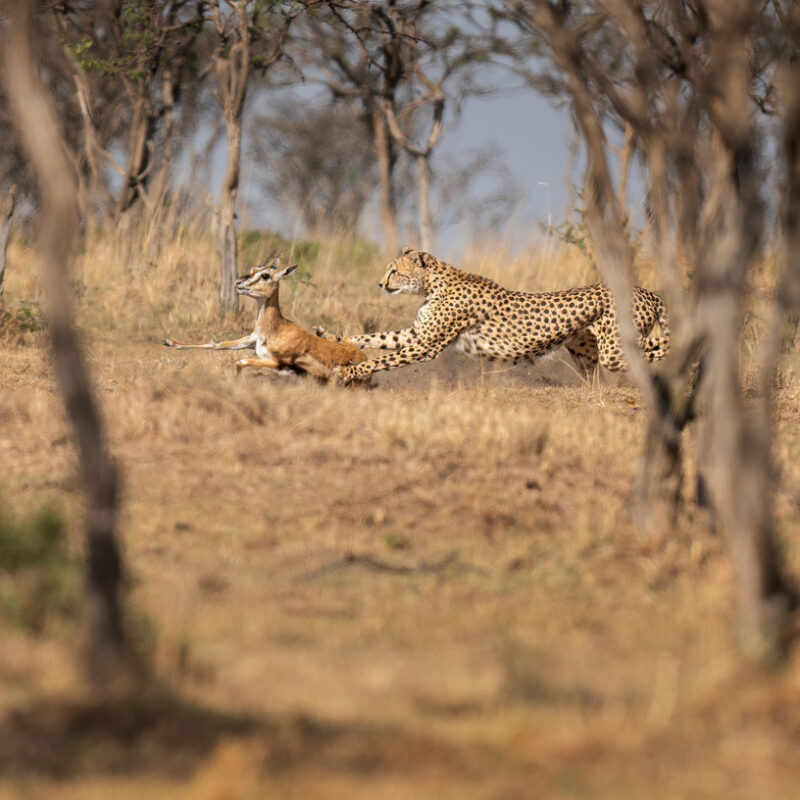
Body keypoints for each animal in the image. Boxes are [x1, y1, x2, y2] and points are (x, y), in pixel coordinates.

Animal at [320, 247, 670, 385]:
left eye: (394, 271)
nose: (380, 284)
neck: (434, 283)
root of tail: (648, 291)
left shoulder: (426, 345)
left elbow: (381, 358)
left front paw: (350, 371)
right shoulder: (417, 335)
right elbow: (376, 337)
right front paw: (336, 337)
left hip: (615, 349)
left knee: (660, 349)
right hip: (584, 349)